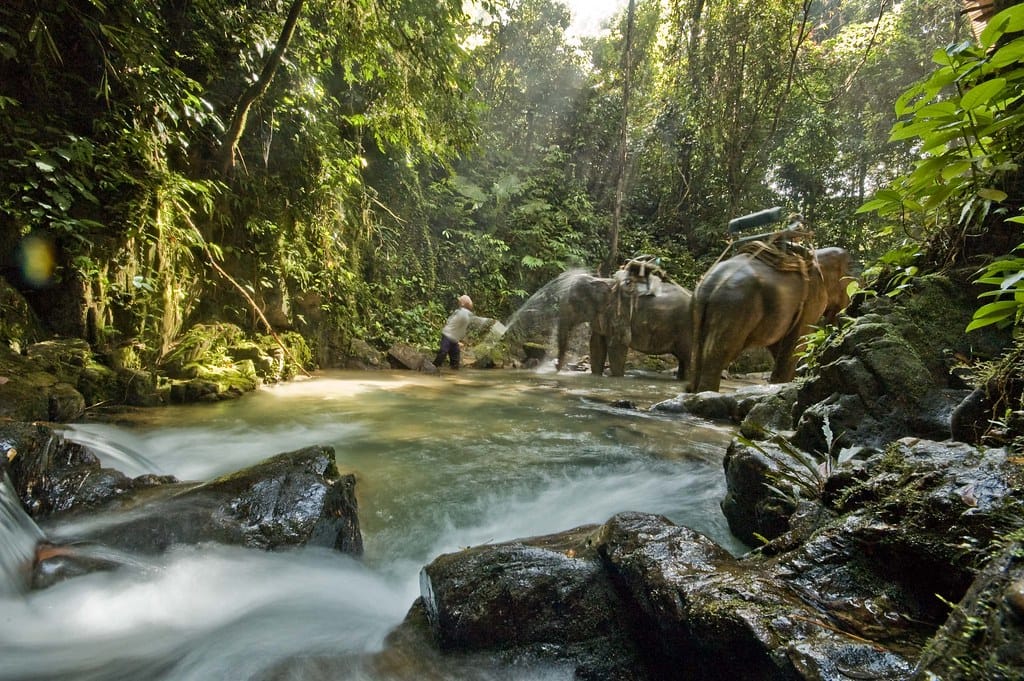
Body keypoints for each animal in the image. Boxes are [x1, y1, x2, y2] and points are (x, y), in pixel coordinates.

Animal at [555, 262, 693, 379]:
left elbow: (618, 343)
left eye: (573, 302)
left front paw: (617, 378)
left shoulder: (619, 313)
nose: (557, 367)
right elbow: (596, 344)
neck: (601, 280)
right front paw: (596, 376)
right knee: (683, 359)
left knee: (688, 358)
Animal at [687, 245, 852, 393]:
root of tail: (709, 287)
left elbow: (779, 346)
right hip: (733, 307)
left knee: (697, 355)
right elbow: (797, 341)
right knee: (719, 354)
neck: (817, 254)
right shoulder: (811, 299)